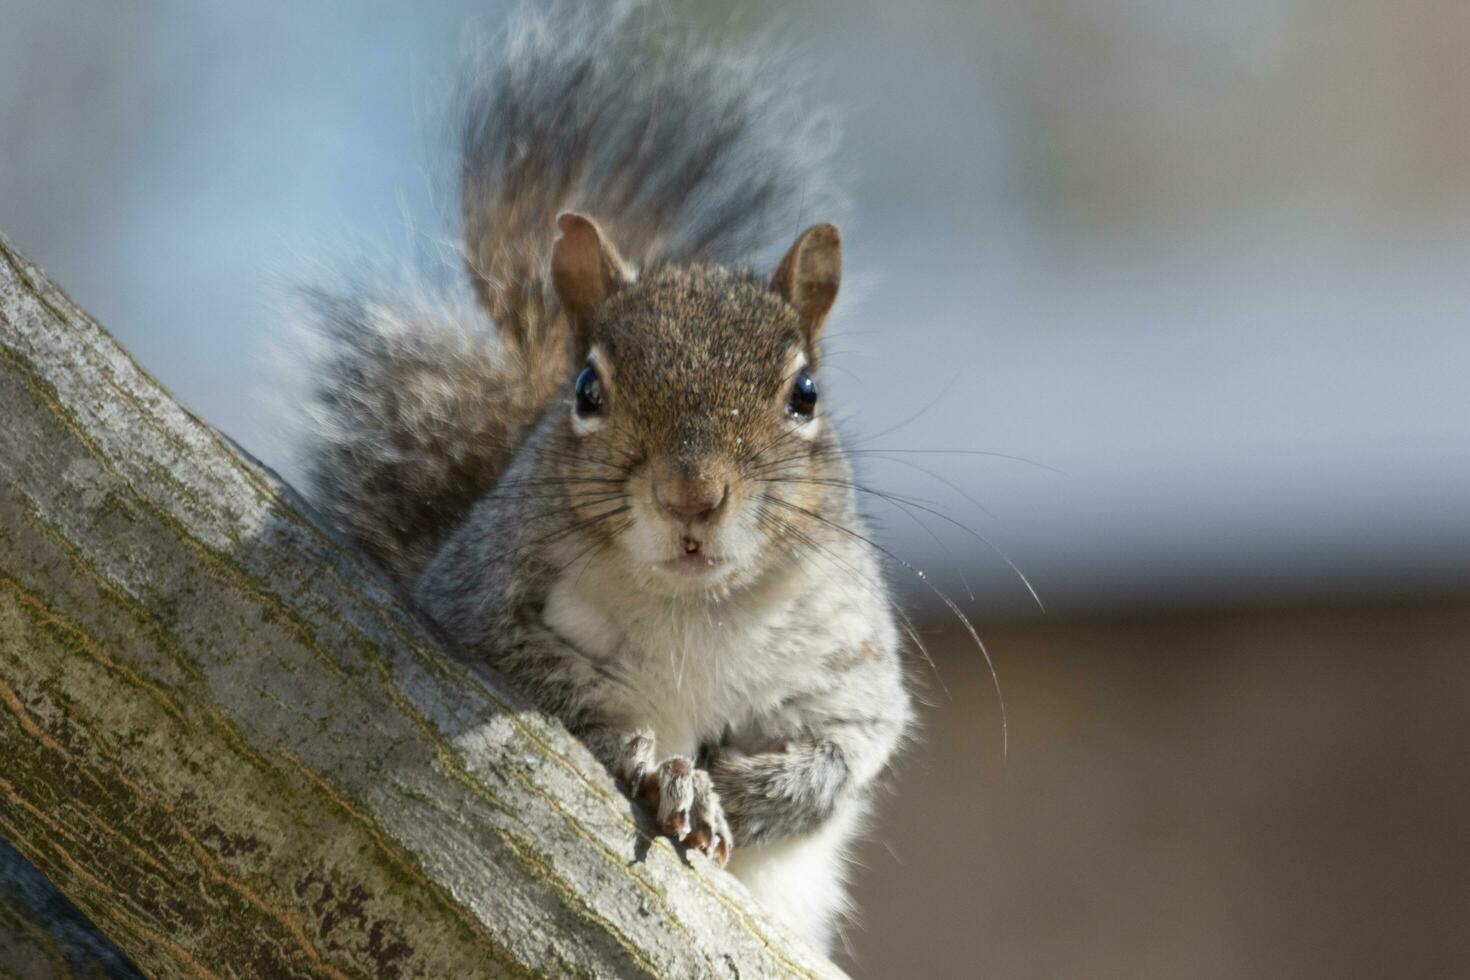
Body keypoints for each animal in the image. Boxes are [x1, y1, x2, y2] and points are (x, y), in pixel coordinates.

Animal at [296, 0, 911, 952]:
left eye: (805, 394)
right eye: (587, 390)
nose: (692, 495)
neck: (696, 611)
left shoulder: (851, 661)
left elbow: (848, 754)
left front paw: (746, 792)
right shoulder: (475, 609)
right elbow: (568, 695)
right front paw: (663, 770)